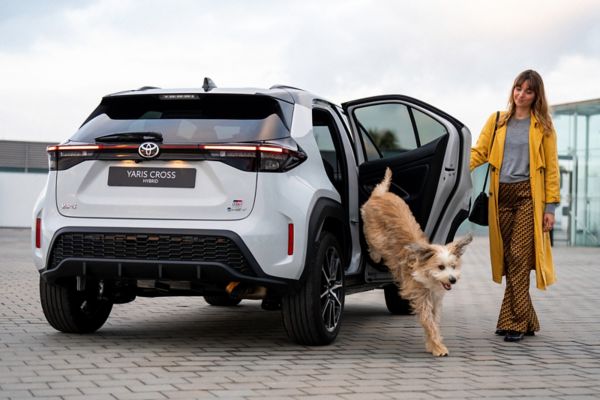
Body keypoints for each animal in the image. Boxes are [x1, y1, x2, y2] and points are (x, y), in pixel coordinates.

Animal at [360, 167, 474, 354]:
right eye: (440, 267)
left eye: (453, 266)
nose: (452, 279)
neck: (426, 276)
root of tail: (381, 194)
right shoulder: (422, 297)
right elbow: (429, 323)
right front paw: (438, 347)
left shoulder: (435, 300)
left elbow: (434, 321)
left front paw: (432, 344)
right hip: (375, 234)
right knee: (372, 243)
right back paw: (375, 255)